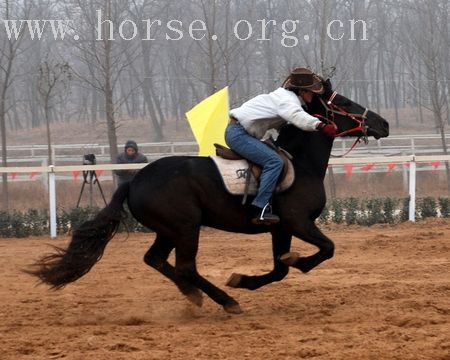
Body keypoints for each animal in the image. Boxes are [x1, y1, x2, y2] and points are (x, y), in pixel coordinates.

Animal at [30, 78, 390, 312]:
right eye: (343, 104)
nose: (383, 123)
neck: (299, 164)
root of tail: (134, 181)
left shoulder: (281, 229)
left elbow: (280, 269)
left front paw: (244, 279)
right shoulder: (298, 222)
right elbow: (325, 249)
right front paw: (295, 263)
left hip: (169, 230)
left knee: (156, 260)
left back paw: (194, 295)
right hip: (186, 228)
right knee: (185, 266)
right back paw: (226, 302)